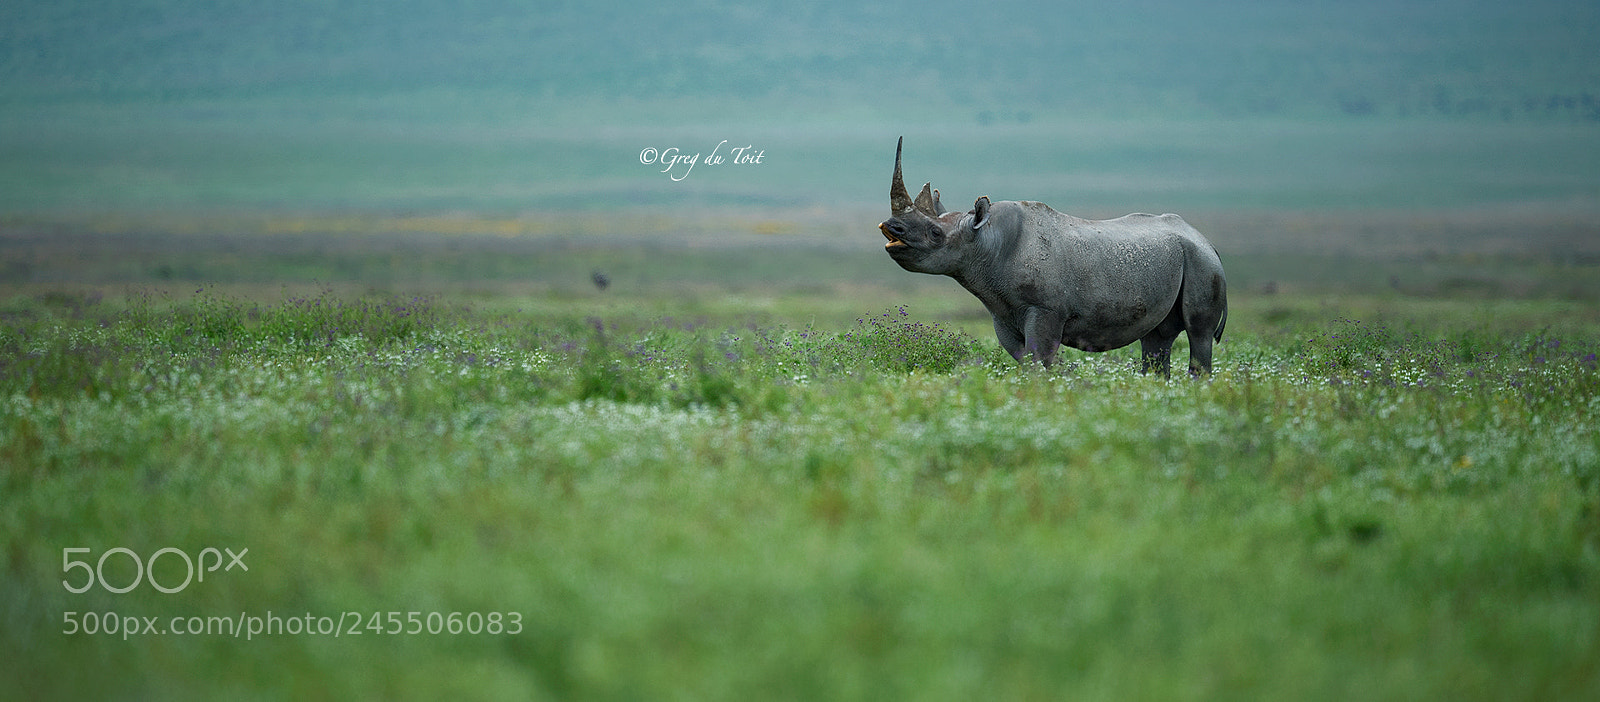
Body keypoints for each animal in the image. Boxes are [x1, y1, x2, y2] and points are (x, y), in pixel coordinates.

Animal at [877, 137, 1228, 376]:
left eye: (935, 234)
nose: (890, 227)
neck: (986, 240)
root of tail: (1207, 241)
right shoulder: (1002, 313)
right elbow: (1024, 361)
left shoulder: (1046, 309)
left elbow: (1040, 360)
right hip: (1180, 258)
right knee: (1157, 339)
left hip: (1202, 262)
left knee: (1198, 333)